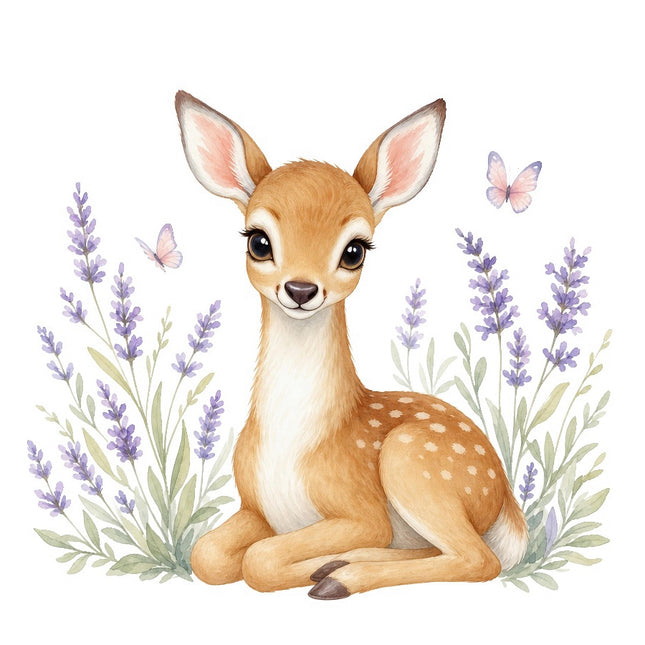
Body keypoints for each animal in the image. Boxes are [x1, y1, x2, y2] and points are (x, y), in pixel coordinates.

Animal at [175, 91, 528, 600]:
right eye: (258, 241)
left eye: (354, 250)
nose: (301, 289)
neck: (295, 443)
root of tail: (505, 499)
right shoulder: (256, 509)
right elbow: (207, 555)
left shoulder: (363, 512)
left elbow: (258, 561)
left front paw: (316, 569)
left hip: (413, 463)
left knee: (481, 559)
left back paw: (338, 576)